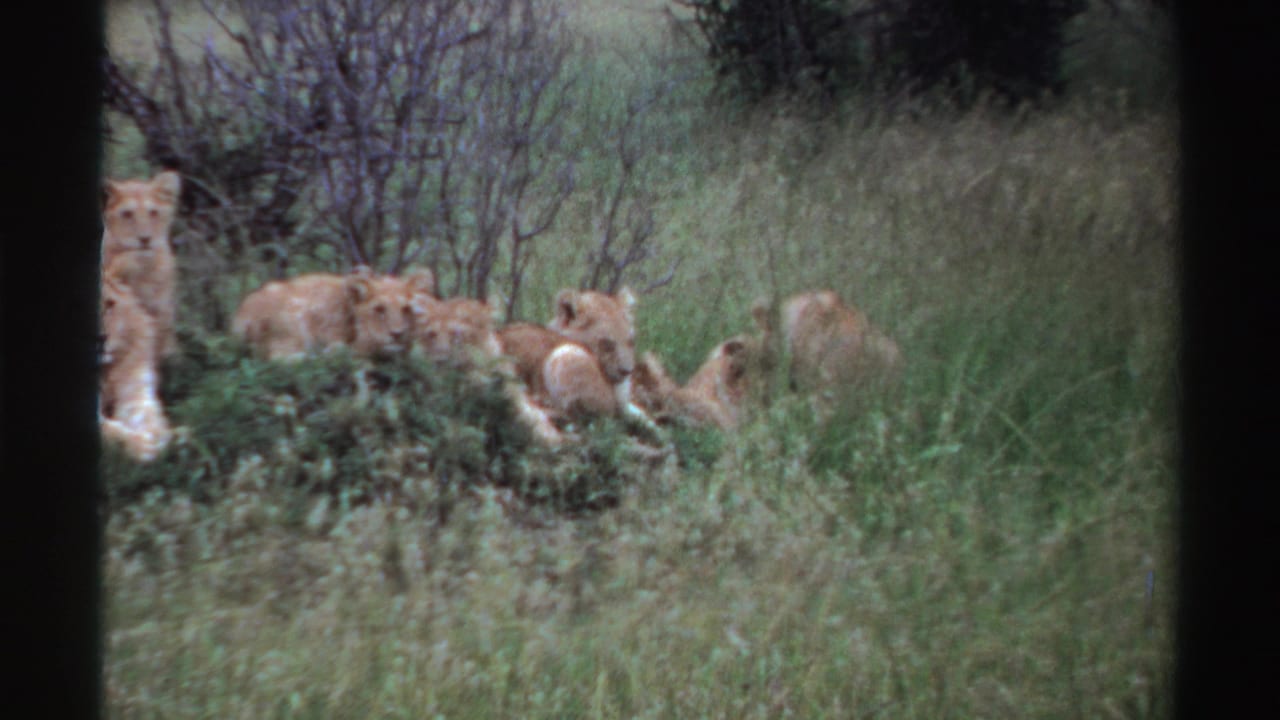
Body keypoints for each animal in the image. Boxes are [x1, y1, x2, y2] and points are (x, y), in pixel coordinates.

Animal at [99, 273, 173, 462]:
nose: (102, 338)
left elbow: (147, 413)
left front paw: (160, 434)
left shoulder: (135, 390)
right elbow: (111, 432)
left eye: (109, 304)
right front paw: (143, 448)